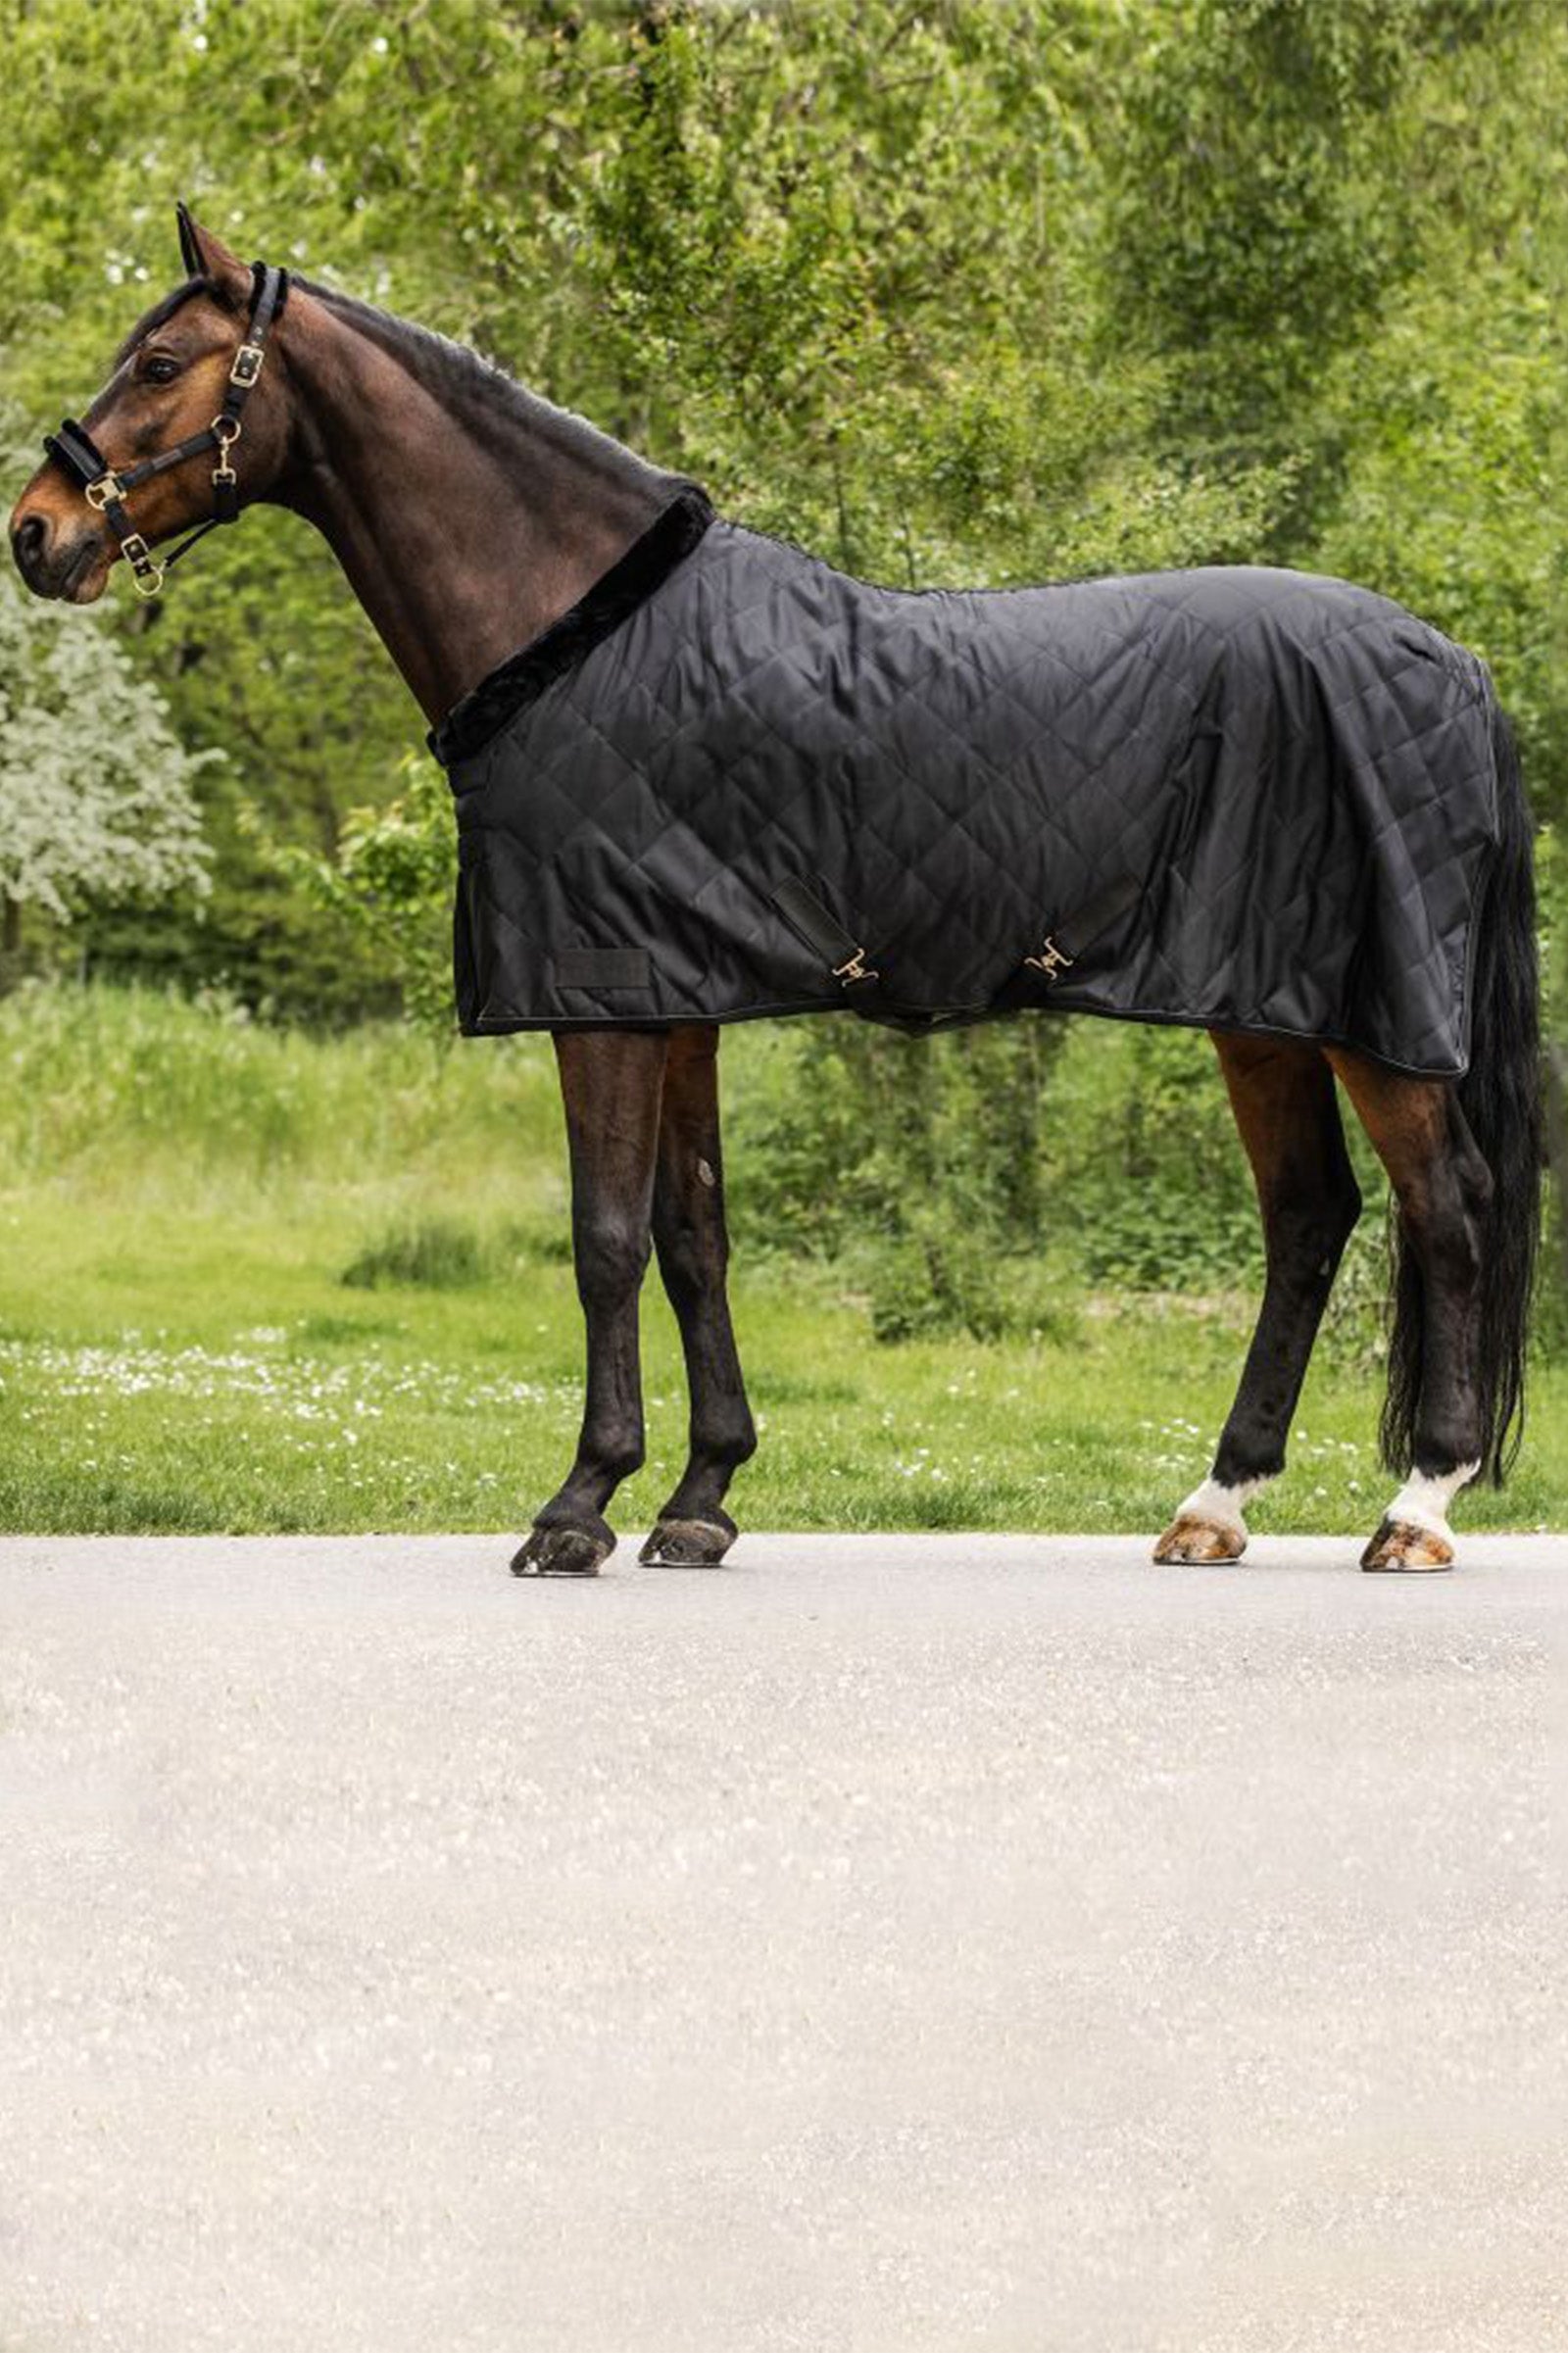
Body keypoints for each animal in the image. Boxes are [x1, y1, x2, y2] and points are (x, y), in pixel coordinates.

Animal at [8, 206, 1541, 1577]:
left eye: (160, 363)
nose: (34, 532)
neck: (577, 630)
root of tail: (1454, 665)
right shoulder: (675, 993)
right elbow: (694, 1239)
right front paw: (700, 1500)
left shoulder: (608, 1000)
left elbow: (605, 1242)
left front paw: (579, 1507)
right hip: (1262, 1009)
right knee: (1310, 1219)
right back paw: (1214, 1505)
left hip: (1372, 1021)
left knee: (1448, 1208)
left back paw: (1418, 1506)